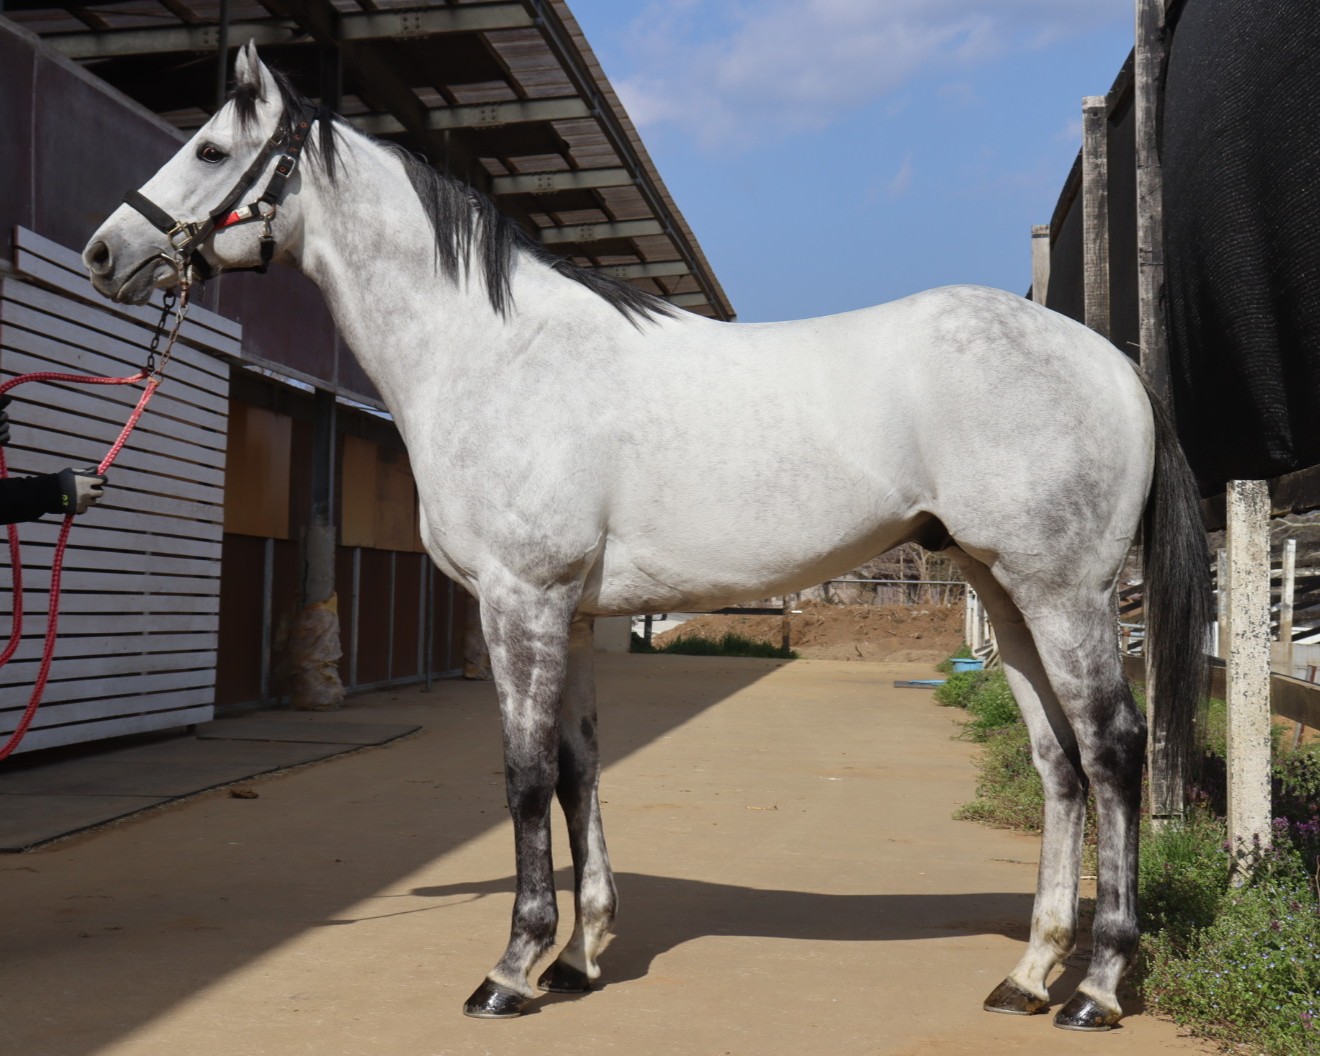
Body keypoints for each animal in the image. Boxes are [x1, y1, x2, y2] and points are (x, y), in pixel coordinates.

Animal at [82, 44, 1210, 1031]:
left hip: (1064, 591)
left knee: (1112, 749)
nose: (105, 253)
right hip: (1006, 591)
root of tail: (1110, 356)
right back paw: (1030, 974)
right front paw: (580, 958)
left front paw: (511, 970)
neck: (494, 355)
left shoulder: (521, 601)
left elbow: (524, 774)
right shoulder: (572, 614)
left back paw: (1098, 986)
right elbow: (579, 769)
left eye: (210, 151)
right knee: (1057, 759)